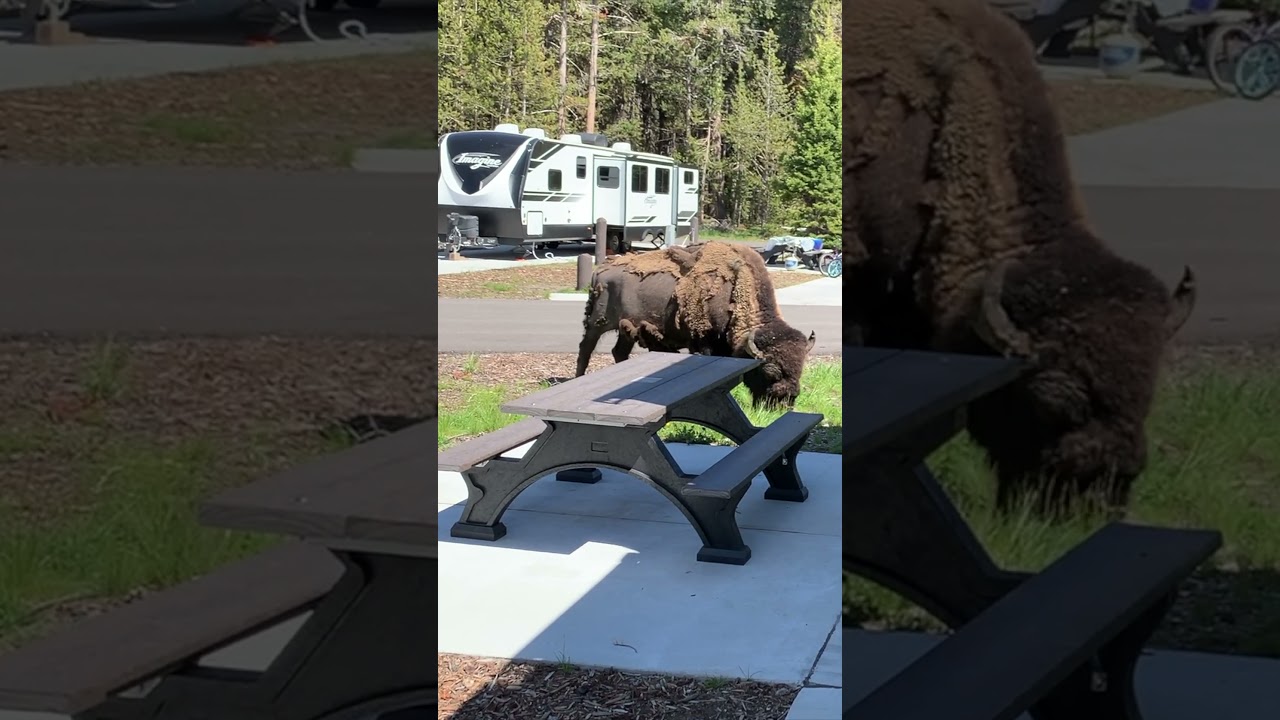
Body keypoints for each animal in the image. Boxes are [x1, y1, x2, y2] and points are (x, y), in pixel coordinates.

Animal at [576, 240, 814, 407]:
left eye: (800, 368)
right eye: (769, 372)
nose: (784, 404)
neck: (735, 289)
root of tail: (600, 270)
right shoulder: (704, 342)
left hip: (626, 328)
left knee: (619, 351)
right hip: (597, 323)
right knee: (585, 349)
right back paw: (578, 378)